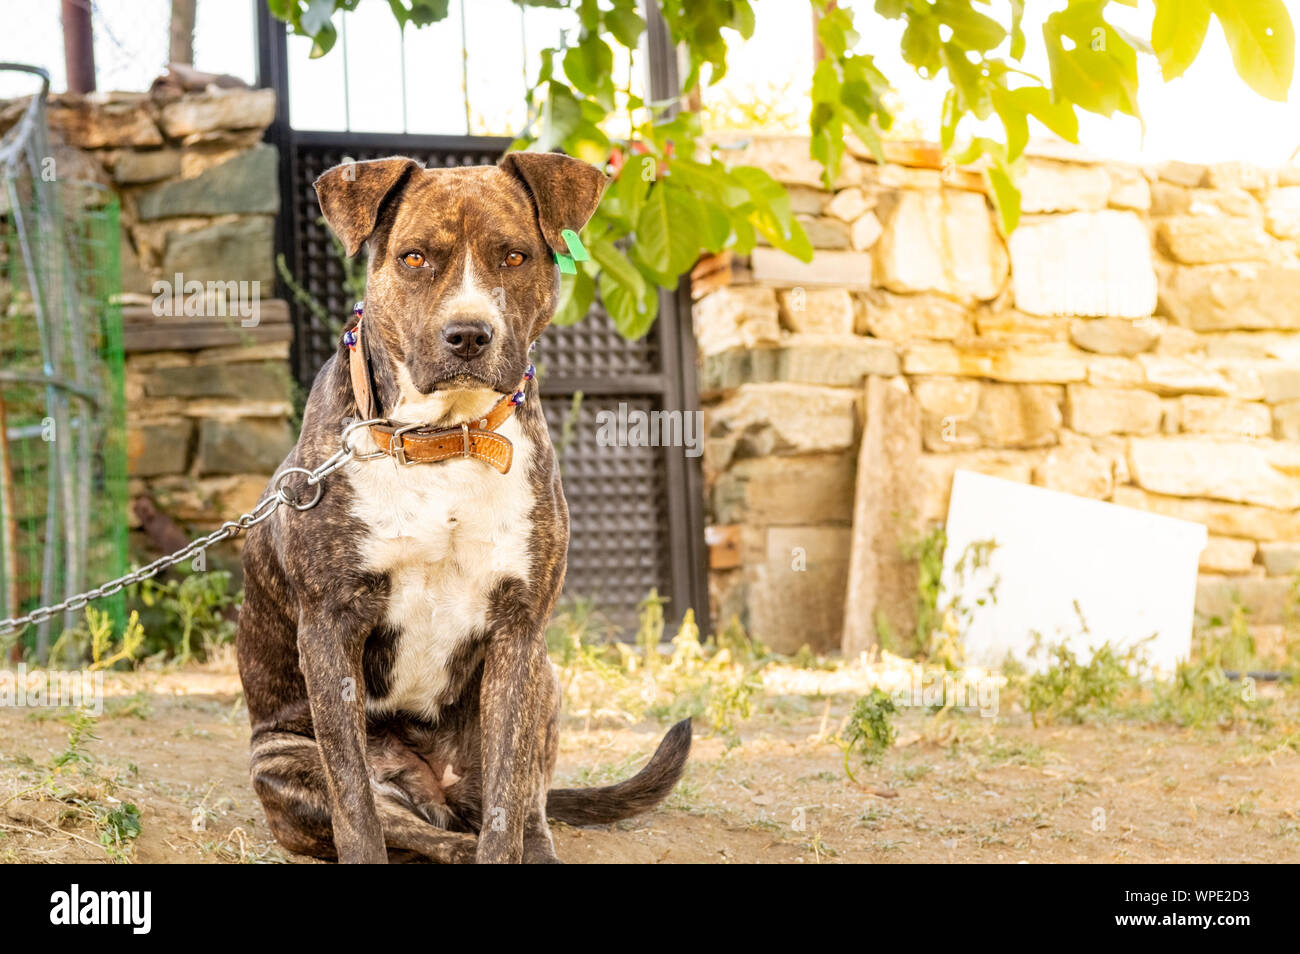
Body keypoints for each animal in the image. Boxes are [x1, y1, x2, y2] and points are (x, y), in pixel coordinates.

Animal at [239, 151, 696, 868]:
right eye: (414, 257)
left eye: (513, 256)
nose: (468, 334)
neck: (444, 441)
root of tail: (437, 787)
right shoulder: (330, 627)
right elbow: (355, 806)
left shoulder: (518, 629)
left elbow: (508, 802)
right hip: (285, 759)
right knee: (419, 832)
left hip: (545, 680)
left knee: (520, 805)